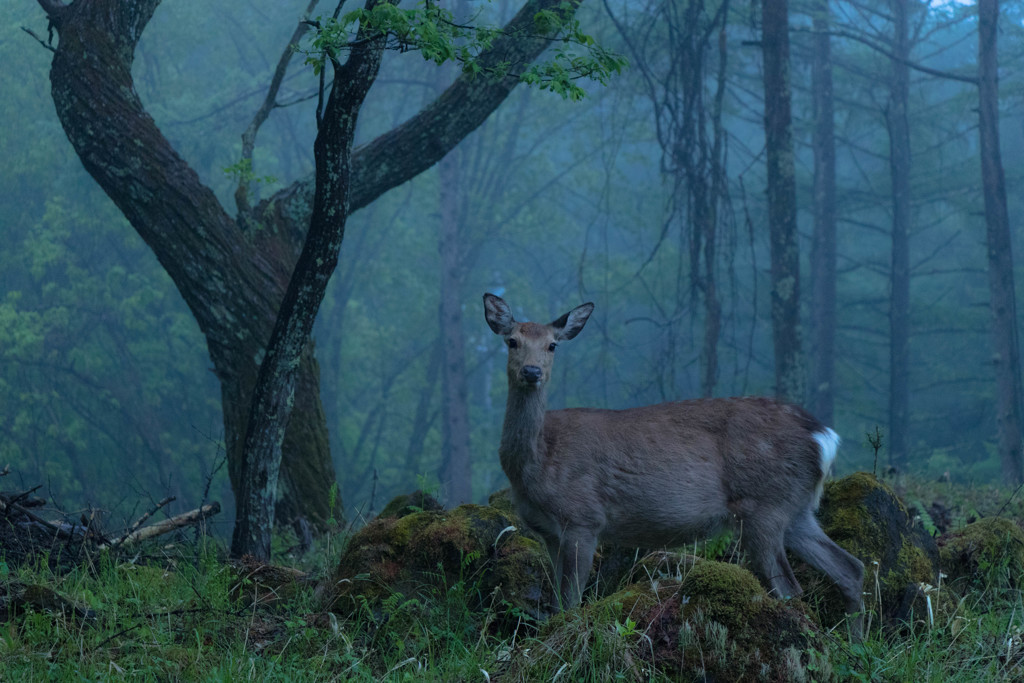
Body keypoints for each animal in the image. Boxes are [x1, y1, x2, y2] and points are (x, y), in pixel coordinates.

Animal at [481, 294, 864, 643]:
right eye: (512, 341)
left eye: (552, 345)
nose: (532, 372)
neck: (538, 464)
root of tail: (824, 436)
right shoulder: (548, 532)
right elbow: (558, 600)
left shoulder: (583, 518)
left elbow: (571, 601)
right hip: (795, 508)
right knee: (850, 567)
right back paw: (855, 645)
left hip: (764, 506)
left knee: (790, 589)